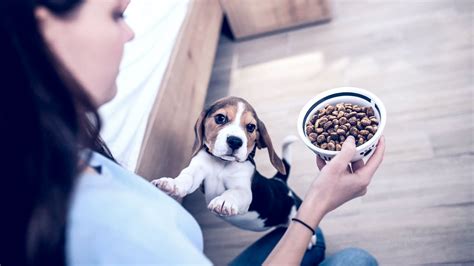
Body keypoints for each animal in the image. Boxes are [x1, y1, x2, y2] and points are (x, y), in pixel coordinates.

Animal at [151, 97, 314, 247]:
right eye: (220, 118)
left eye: (251, 127)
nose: (235, 141)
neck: (222, 164)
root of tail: (279, 180)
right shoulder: (198, 169)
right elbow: (186, 177)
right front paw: (172, 184)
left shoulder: (244, 190)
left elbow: (234, 192)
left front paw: (224, 201)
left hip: (295, 208)